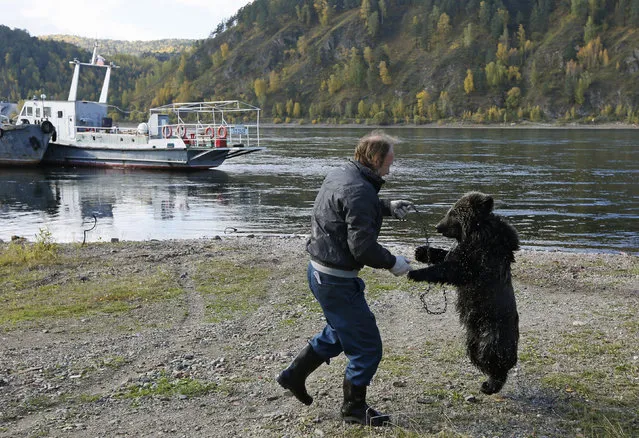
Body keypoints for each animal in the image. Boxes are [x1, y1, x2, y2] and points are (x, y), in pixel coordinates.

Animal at [408, 191, 524, 394]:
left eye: (452, 213)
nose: (437, 226)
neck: (473, 231)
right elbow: (446, 255)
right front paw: (422, 251)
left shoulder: (480, 255)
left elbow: (454, 269)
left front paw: (415, 273)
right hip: (473, 335)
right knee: (476, 353)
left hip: (493, 330)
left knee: (492, 357)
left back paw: (490, 384)